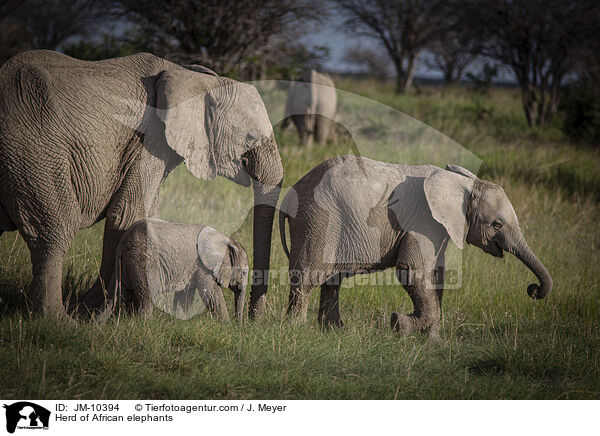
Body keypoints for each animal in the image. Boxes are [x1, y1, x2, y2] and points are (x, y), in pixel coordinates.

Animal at [96, 218, 248, 324]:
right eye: (244, 273)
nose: (240, 327)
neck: (226, 239)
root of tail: (124, 243)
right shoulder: (203, 267)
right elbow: (212, 294)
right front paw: (227, 327)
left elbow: (185, 296)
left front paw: (182, 321)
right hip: (144, 263)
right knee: (147, 299)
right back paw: (145, 326)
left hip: (122, 264)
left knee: (113, 296)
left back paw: (96, 326)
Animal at [282, 157, 552, 338]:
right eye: (497, 224)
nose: (533, 289)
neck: (463, 186)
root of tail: (293, 191)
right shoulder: (424, 222)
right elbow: (412, 270)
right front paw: (398, 323)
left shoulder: (439, 228)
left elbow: (436, 276)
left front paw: (433, 340)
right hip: (319, 218)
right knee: (309, 276)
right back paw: (297, 330)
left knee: (332, 279)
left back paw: (335, 331)